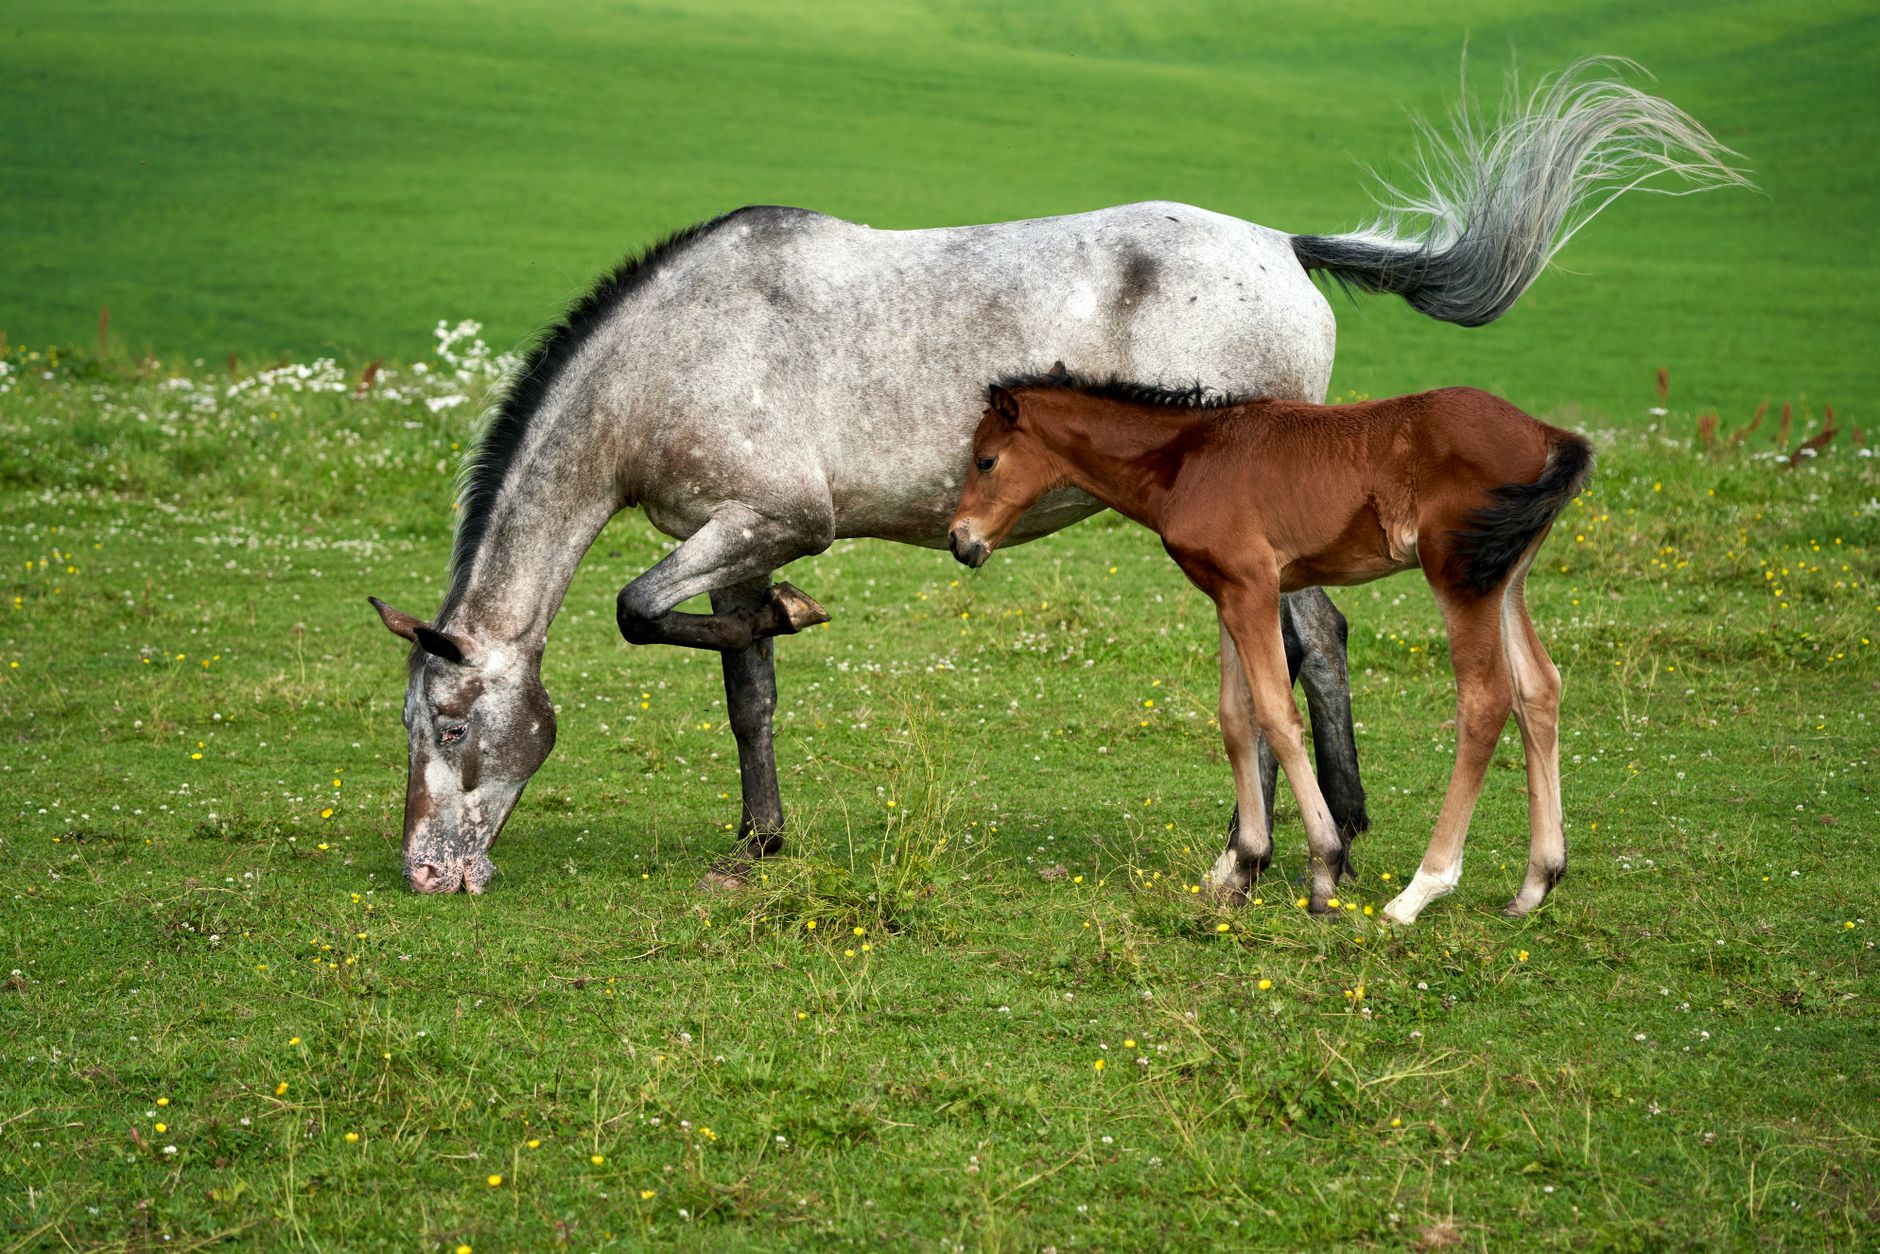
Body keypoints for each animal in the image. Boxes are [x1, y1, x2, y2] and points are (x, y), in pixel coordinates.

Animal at [947, 375, 1592, 923]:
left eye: (986, 460)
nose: (960, 540)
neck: (1187, 459)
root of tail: (1549, 435)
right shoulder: (1227, 590)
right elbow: (1238, 719)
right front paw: (1241, 868)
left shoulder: (1254, 584)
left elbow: (1278, 717)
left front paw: (1323, 870)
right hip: (1507, 578)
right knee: (1540, 687)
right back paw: (1535, 884)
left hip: (1460, 575)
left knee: (1485, 701)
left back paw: (1418, 892)